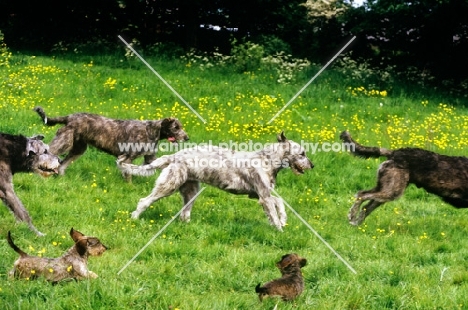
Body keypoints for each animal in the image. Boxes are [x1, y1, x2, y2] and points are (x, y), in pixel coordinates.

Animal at [118, 132, 314, 231]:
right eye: (302, 153)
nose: (313, 165)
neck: (267, 160)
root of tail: (174, 156)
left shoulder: (259, 194)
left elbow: (279, 202)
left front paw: (283, 218)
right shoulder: (263, 196)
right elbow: (273, 211)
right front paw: (280, 230)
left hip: (191, 191)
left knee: (184, 214)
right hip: (169, 185)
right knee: (144, 201)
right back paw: (134, 218)